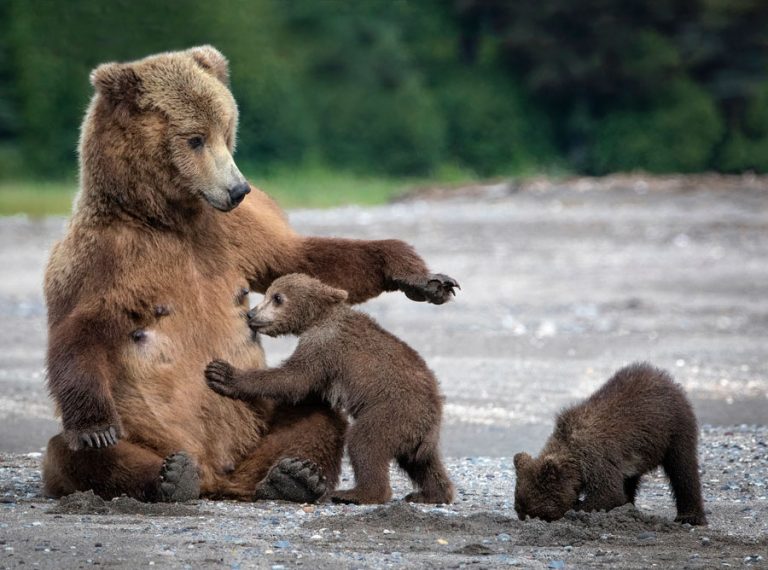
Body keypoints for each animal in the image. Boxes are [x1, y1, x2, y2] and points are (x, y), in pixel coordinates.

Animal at [42, 47, 456, 502]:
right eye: (195, 138)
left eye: (226, 131)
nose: (239, 189)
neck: (169, 219)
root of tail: (218, 477)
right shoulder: (105, 256)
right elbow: (79, 329)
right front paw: (95, 428)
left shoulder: (233, 234)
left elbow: (302, 260)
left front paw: (422, 277)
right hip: (147, 433)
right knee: (71, 454)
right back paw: (170, 476)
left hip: (259, 430)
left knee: (316, 415)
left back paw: (292, 476)